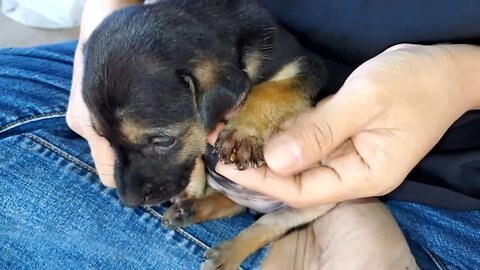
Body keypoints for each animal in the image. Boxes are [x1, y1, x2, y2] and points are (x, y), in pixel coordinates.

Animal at [82, 1, 336, 268]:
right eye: (104, 139)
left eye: (163, 141)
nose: (128, 200)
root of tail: (255, 207)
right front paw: (189, 189)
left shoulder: (305, 66)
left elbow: (271, 91)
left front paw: (242, 134)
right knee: (232, 204)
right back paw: (189, 209)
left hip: (314, 204)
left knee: (268, 226)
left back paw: (228, 253)